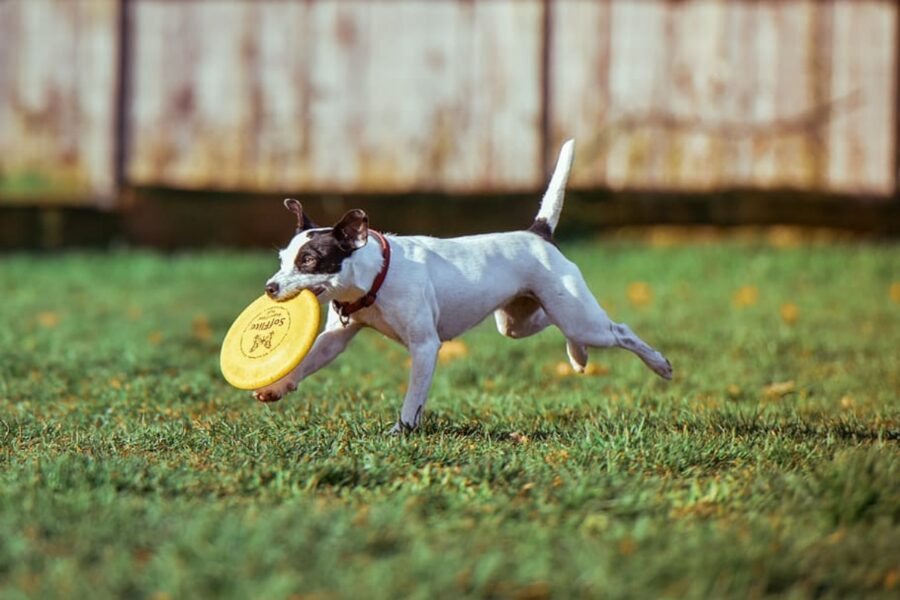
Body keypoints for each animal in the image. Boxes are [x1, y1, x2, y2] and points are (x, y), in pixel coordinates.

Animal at [251, 141, 668, 432]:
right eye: (283, 259)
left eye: (309, 261)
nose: (270, 287)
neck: (375, 277)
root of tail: (538, 234)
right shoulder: (335, 338)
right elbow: (308, 361)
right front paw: (278, 386)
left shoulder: (424, 347)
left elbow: (413, 397)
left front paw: (401, 430)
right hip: (518, 321)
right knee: (555, 324)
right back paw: (577, 356)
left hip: (582, 319)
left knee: (620, 331)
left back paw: (659, 364)